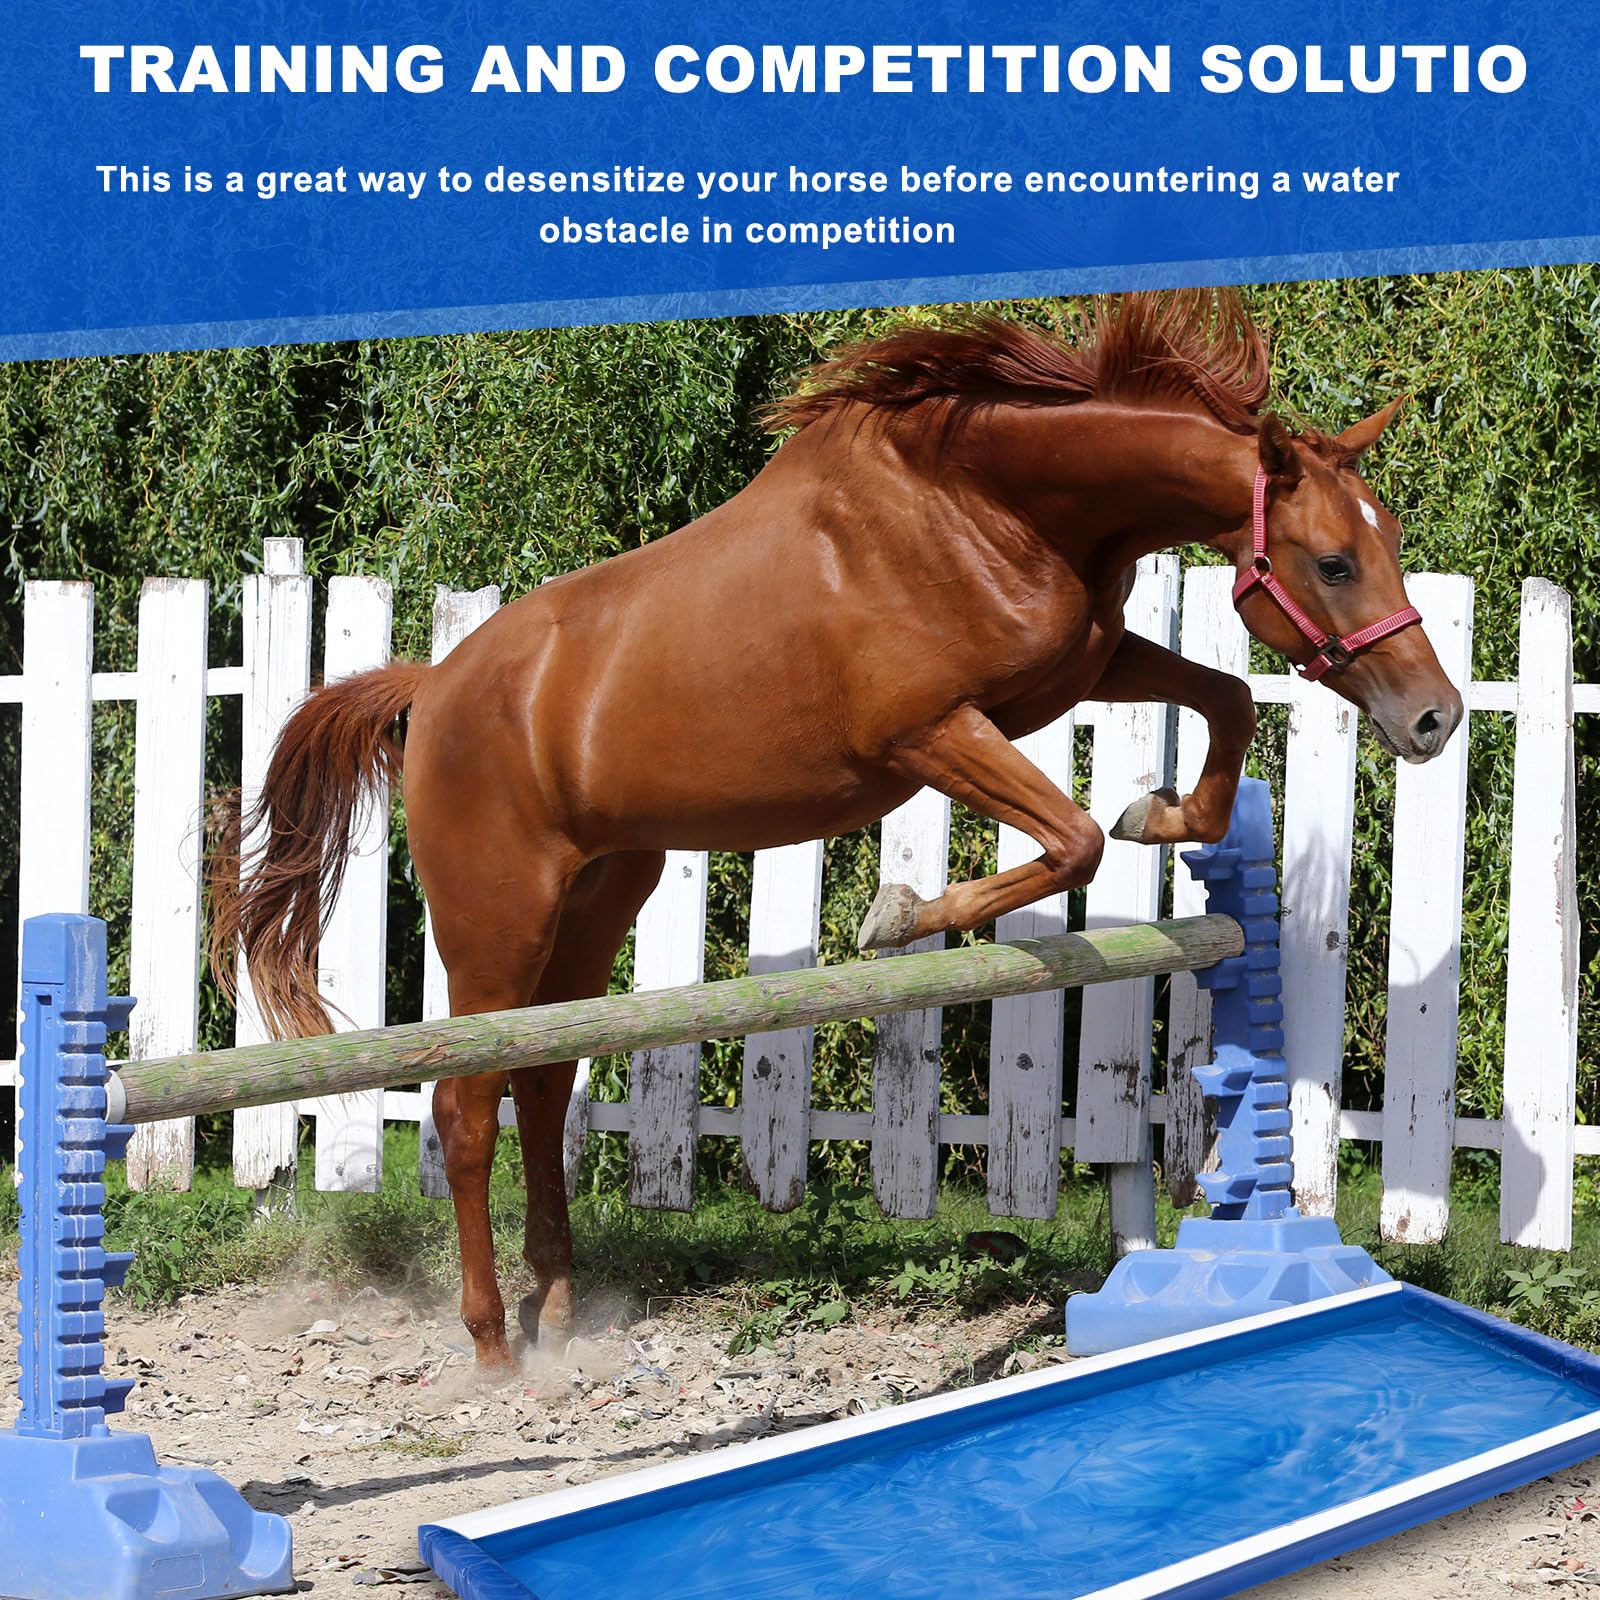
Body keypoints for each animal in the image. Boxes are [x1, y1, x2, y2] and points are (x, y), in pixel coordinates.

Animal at [213, 290, 1463, 1372]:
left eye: (1388, 539)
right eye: (1332, 560)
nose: (1433, 717)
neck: (984, 501)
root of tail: (432, 690)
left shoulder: (1076, 672)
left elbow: (1225, 700)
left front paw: (1169, 811)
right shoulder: (929, 731)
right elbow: (1070, 839)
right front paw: (899, 916)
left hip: (598, 894)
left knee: (541, 1081)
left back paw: (557, 1306)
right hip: (496, 918)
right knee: (465, 1106)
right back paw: (489, 1344)